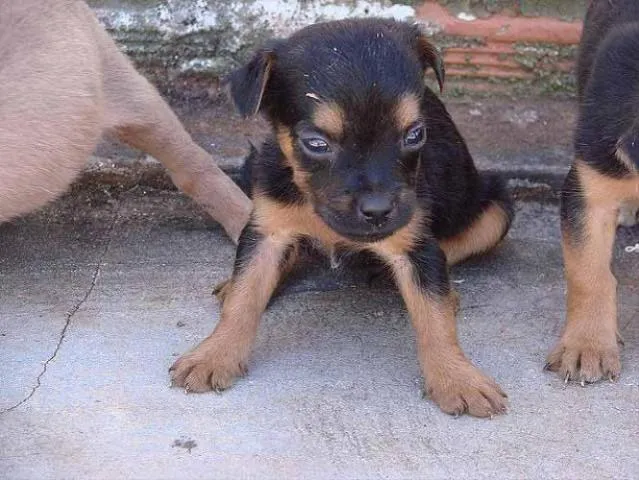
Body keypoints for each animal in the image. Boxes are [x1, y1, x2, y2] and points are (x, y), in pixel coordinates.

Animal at [170, 18, 516, 416]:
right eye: (316, 143)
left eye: (416, 134)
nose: (378, 210)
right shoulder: (267, 229)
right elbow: (245, 293)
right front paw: (215, 354)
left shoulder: (416, 244)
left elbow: (434, 314)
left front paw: (456, 378)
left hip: (496, 209)